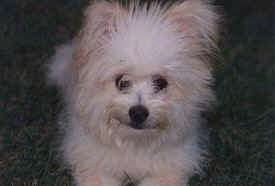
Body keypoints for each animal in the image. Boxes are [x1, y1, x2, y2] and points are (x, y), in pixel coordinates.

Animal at [48, 0, 220, 185]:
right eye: (122, 82)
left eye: (160, 82)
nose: (138, 112)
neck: (135, 143)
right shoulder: (95, 169)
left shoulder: (167, 173)